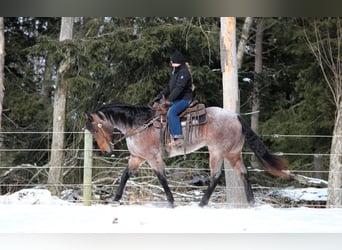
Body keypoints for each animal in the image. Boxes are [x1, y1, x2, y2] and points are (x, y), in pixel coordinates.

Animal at [85, 101, 288, 207]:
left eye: (95, 128)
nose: (105, 149)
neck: (139, 125)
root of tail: (236, 116)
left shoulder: (152, 158)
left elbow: (161, 178)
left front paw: (171, 201)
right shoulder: (137, 158)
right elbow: (125, 175)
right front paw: (116, 198)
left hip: (216, 152)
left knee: (215, 175)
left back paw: (202, 203)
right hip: (233, 153)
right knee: (244, 173)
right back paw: (251, 202)